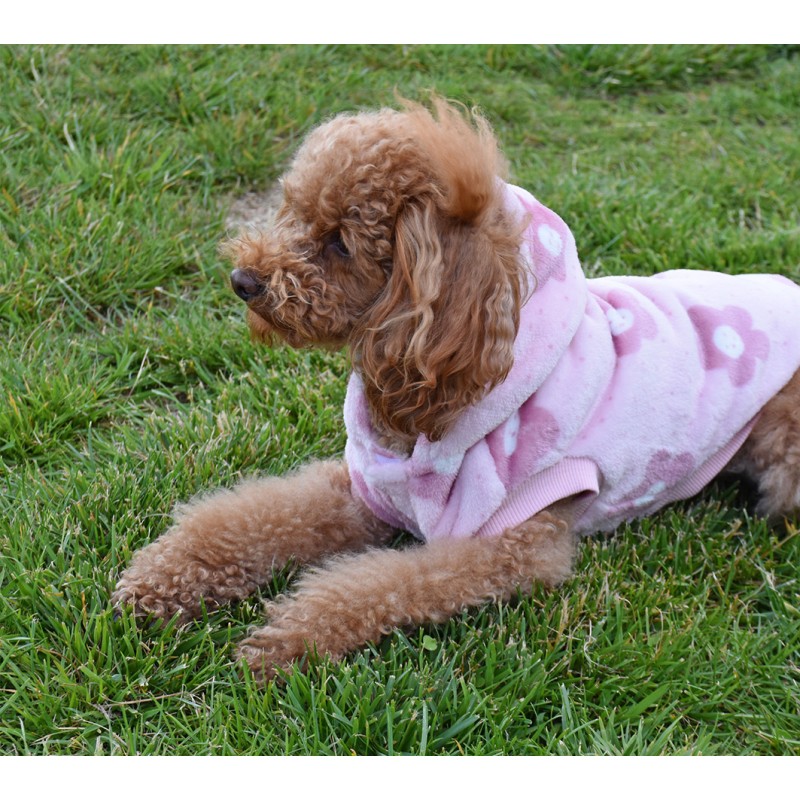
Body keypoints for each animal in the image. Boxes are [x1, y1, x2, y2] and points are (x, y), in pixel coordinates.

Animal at [113, 98, 800, 681]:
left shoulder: (512, 543)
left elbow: (378, 583)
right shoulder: (367, 490)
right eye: (294, 213)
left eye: (340, 243)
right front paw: (162, 580)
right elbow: (248, 516)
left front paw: (291, 635)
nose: (242, 280)